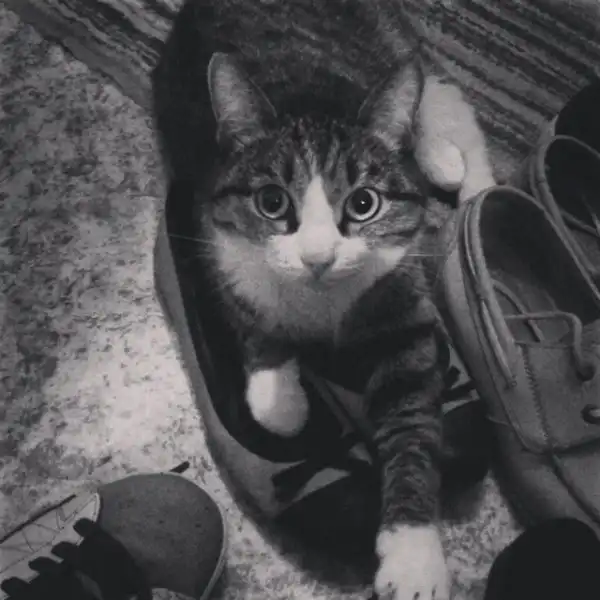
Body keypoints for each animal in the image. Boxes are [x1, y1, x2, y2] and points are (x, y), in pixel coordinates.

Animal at [152, 1, 494, 599]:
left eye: (363, 204)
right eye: (271, 202)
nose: (317, 256)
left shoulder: (402, 304)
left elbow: (411, 419)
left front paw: (414, 554)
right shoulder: (212, 229)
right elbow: (250, 316)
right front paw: (281, 396)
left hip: (391, 37)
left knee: (424, 85)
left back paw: (440, 157)